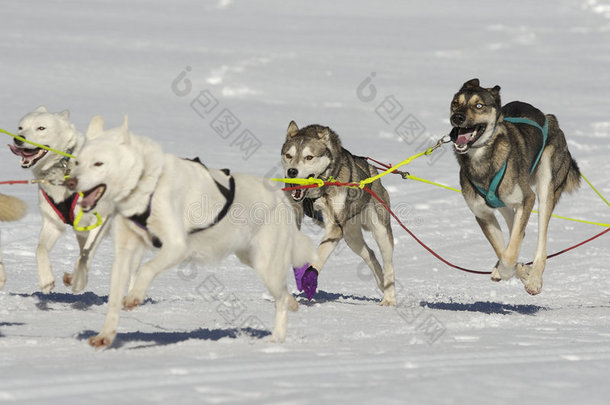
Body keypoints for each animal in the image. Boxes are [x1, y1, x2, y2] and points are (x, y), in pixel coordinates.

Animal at [8, 105, 113, 292]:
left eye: (41, 128)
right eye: (20, 127)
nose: (18, 139)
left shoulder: (99, 222)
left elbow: (85, 254)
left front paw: (78, 281)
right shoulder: (52, 223)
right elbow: (40, 250)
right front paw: (46, 279)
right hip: (80, 230)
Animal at [67, 115, 314, 346]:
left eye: (98, 164)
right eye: (77, 162)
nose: (70, 182)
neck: (148, 184)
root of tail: (279, 198)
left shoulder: (176, 246)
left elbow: (147, 268)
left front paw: (135, 296)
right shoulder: (124, 251)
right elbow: (114, 299)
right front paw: (105, 335)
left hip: (266, 265)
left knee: (280, 300)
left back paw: (276, 340)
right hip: (250, 258)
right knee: (284, 293)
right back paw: (292, 304)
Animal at [280, 121, 394, 304]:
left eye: (309, 157)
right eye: (289, 155)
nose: (292, 171)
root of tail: (373, 170)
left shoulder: (335, 227)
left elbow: (319, 255)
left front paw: (309, 279)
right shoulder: (294, 214)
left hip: (380, 230)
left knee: (388, 262)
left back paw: (390, 297)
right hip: (351, 236)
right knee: (370, 254)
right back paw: (381, 282)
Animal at [446, 78, 580, 294]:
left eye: (478, 105)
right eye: (455, 103)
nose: (457, 117)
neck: (483, 161)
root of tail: (549, 118)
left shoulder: (527, 198)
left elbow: (509, 255)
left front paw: (511, 271)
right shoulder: (483, 214)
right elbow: (504, 249)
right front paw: (515, 270)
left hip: (545, 187)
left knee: (539, 241)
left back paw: (534, 279)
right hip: (505, 206)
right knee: (518, 231)